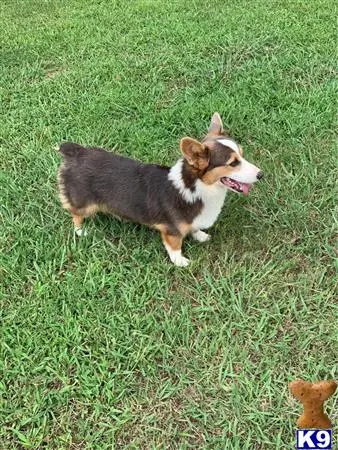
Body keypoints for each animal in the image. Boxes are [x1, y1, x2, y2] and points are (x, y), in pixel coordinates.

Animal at [57, 114, 264, 266]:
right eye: (233, 163)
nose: (261, 174)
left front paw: (200, 236)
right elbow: (175, 247)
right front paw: (180, 262)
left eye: (242, 155)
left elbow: (195, 228)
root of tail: (77, 152)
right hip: (84, 203)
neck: (197, 187)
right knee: (75, 214)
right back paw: (81, 231)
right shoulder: (171, 231)